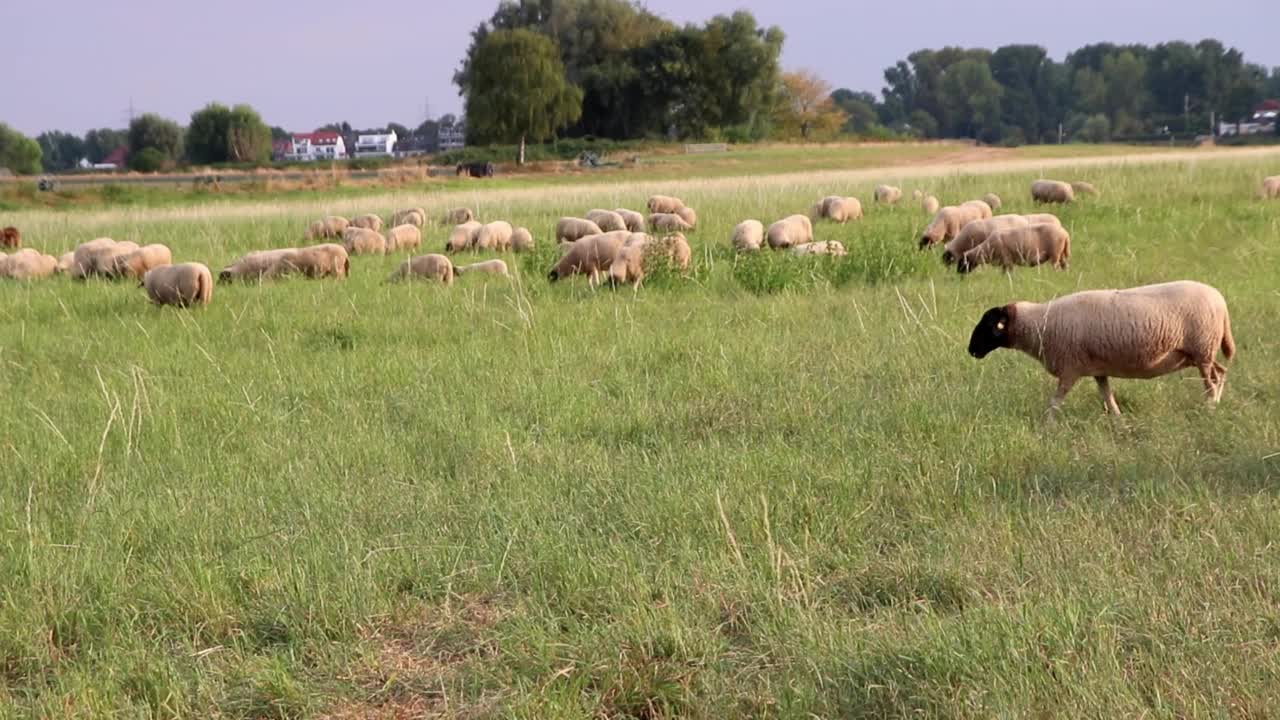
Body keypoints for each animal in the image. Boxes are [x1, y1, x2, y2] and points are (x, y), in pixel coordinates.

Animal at [967, 280, 1239, 415]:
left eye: (988, 325)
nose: (971, 351)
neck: (1038, 324)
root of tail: (1220, 299)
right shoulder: (1098, 370)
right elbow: (1108, 397)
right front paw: (1119, 422)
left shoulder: (1070, 369)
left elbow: (1055, 401)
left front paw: (1047, 425)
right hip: (1199, 353)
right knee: (1221, 372)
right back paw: (1217, 404)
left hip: (1202, 348)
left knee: (1212, 381)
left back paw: (1210, 407)